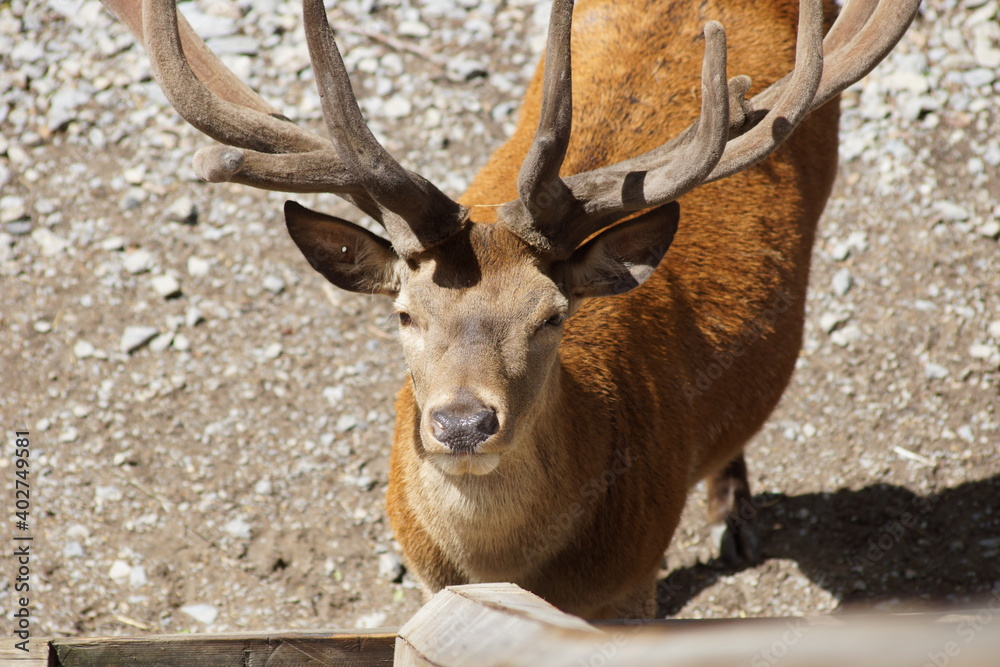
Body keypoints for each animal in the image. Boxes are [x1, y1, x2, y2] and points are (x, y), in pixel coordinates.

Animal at [100, 0, 920, 618]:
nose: (462, 424)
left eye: (552, 315)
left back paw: (736, 520)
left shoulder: (636, 580)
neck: (506, 574)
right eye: (404, 313)